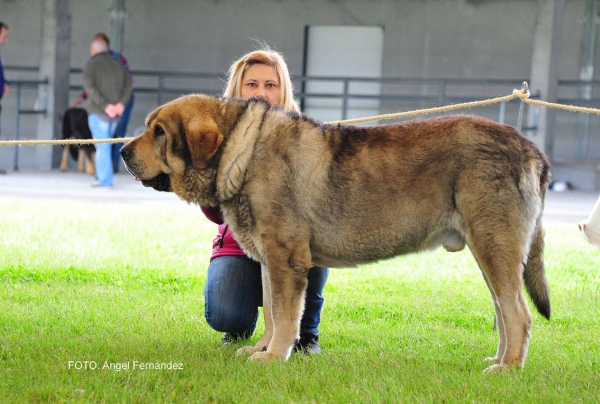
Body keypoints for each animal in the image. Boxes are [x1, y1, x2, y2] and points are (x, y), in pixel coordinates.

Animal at [119, 94, 552, 372]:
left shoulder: (287, 259)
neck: (242, 150)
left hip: (494, 247)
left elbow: (285, 315)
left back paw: (509, 368)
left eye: (159, 132)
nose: (122, 151)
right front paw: (261, 348)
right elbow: (272, 312)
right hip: (491, 254)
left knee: (519, 314)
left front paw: (273, 358)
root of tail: (531, 148)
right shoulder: (270, 262)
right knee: (504, 310)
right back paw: (499, 359)